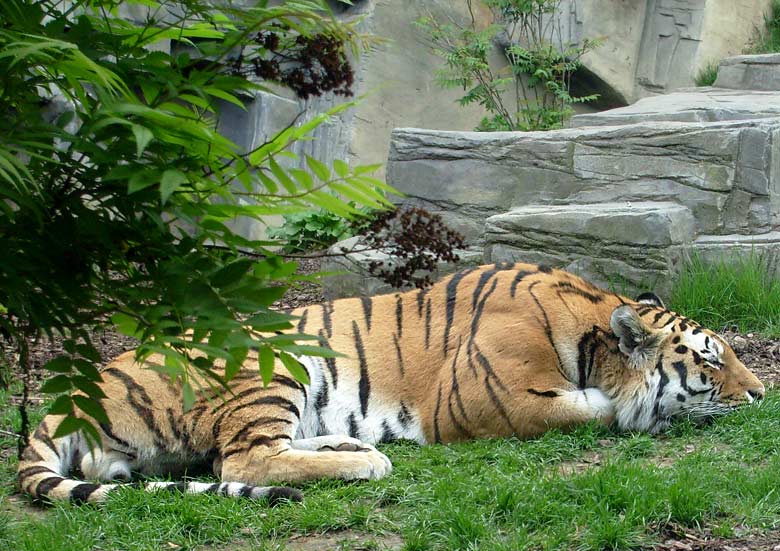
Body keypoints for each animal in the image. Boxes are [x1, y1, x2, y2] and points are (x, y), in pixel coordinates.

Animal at [19, 264, 768, 504]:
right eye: (710, 361)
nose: (763, 392)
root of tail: (66, 397)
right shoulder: (479, 402)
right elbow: (595, 410)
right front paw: (640, 410)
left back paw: (356, 450)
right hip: (270, 362)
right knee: (242, 459)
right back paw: (368, 461)